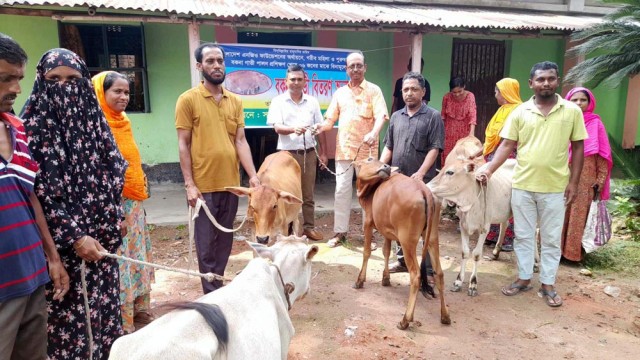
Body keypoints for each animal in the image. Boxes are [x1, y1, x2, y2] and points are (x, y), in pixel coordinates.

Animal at [356, 158, 450, 330]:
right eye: (370, 159)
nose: (386, 166)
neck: (371, 190)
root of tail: (423, 189)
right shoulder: (386, 229)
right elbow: (386, 251)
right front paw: (386, 278)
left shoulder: (368, 223)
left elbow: (367, 252)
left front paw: (360, 280)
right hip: (433, 238)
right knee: (439, 273)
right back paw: (445, 316)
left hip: (408, 241)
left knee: (416, 275)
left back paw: (406, 320)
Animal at [428, 158, 516, 296]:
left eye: (450, 172)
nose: (427, 186)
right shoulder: (463, 225)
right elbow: (465, 252)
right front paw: (458, 281)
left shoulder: (485, 228)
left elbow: (476, 254)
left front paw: (473, 283)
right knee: (505, 224)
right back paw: (496, 251)